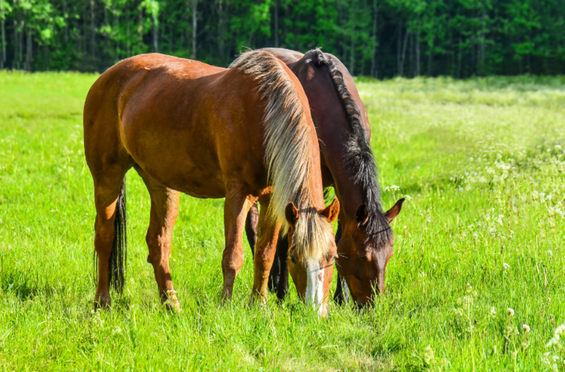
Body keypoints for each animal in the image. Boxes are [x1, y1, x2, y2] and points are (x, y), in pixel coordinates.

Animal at [82, 50, 340, 314]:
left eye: (333, 257)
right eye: (294, 257)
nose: (317, 312)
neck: (265, 113)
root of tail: (107, 77)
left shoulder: (272, 199)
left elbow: (265, 253)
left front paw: (259, 305)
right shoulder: (239, 194)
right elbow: (233, 255)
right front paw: (225, 305)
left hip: (160, 183)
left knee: (158, 242)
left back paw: (172, 305)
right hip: (107, 176)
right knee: (104, 237)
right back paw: (102, 302)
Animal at [245, 48, 404, 306]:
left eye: (389, 254)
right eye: (363, 255)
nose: (371, 305)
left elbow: (337, 234)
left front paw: (341, 297)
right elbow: (288, 235)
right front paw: (282, 291)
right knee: (254, 229)